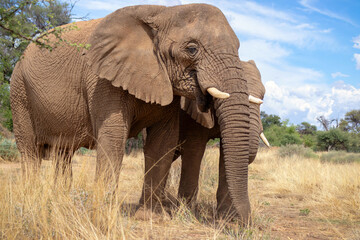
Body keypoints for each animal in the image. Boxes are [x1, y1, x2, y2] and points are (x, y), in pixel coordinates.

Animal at [11, 4, 253, 223]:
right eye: (192, 49)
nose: (240, 223)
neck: (164, 12)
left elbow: (162, 143)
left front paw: (150, 218)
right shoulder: (102, 80)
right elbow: (113, 139)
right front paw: (102, 219)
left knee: (63, 154)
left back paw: (62, 202)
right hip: (19, 93)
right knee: (30, 152)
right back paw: (30, 203)